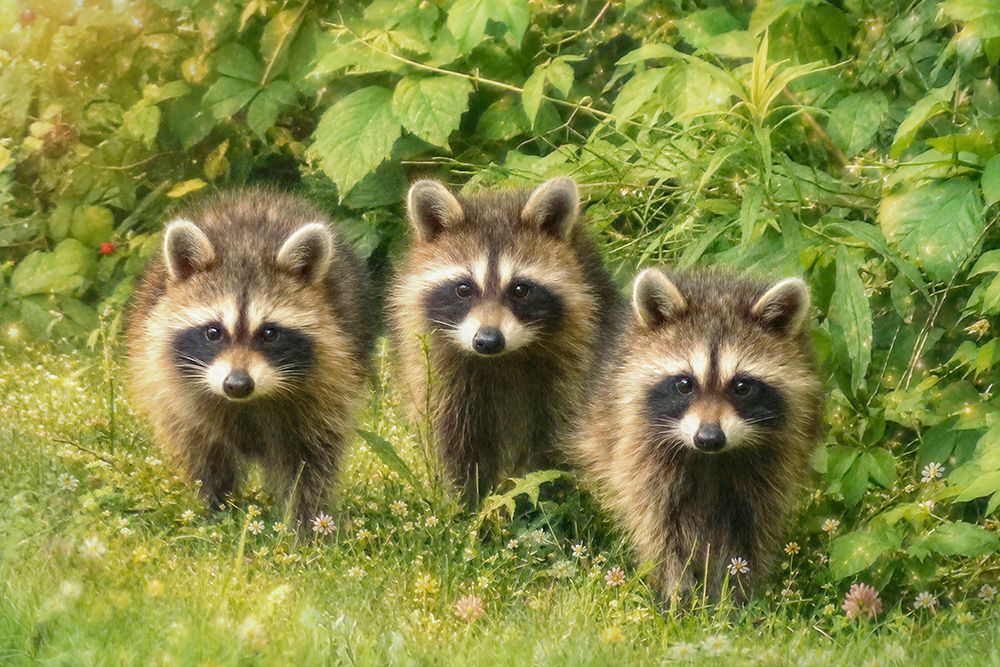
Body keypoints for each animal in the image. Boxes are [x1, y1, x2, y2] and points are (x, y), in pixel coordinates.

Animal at [126, 189, 376, 528]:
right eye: (214, 332)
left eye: (269, 334)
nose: (237, 384)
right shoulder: (175, 394)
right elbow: (202, 451)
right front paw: (217, 509)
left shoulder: (331, 380)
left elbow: (312, 458)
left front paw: (307, 520)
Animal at [389, 177, 621, 505]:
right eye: (463, 289)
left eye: (520, 289)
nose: (488, 340)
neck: (501, 359)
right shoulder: (437, 365)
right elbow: (454, 433)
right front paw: (466, 500)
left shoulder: (578, 350)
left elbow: (555, 431)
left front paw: (546, 492)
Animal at [574, 268, 823, 601]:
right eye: (684, 384)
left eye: (741, 386)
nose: (709, 438)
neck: (710, 459)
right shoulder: (639, 447)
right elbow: (659, 526)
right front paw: (677, 590)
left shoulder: (775, 460)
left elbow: (752, 527)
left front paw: (736, 593)